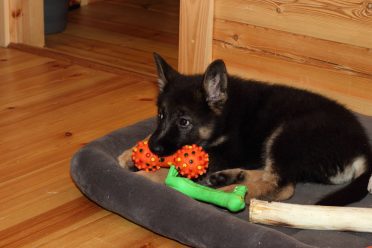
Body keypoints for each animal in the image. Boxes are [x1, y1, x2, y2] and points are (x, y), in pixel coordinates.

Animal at [119, 52, 372, 205]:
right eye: (161, 115)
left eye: (184, 122)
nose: (154, 148)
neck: (224, 115)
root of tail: (362, 148)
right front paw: (131, 153)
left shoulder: (227, 152)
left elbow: (177, 163)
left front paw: (148, 173)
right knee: (272, 175)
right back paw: (231, 178)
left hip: (288, 134)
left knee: (282, 186)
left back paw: (226, 193)